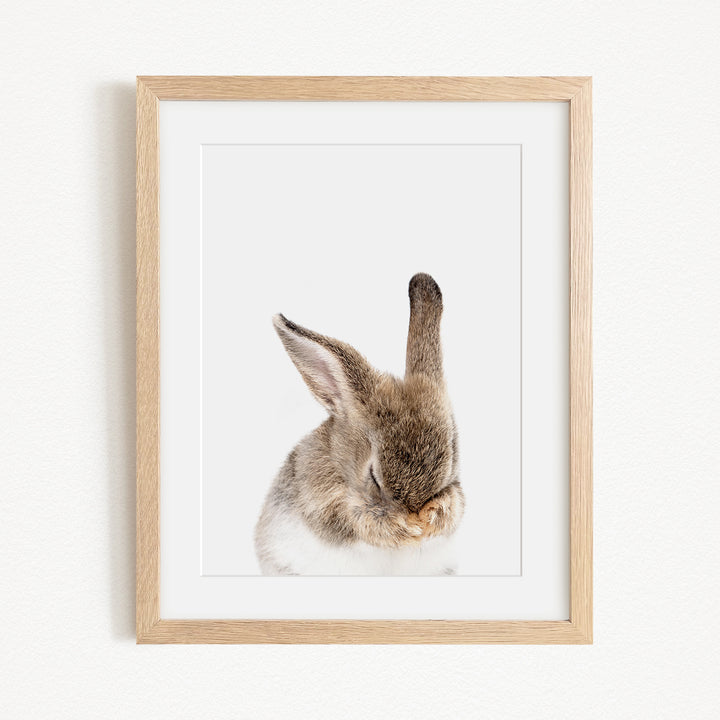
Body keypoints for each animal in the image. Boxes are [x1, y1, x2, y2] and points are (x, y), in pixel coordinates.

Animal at [254, 273, 464, 575]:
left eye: (451, 460)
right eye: (373, 476)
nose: (416, 515)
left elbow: (455, 505)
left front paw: (432, 518)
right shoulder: (328, 507)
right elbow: (360, 522)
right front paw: (406, 529)